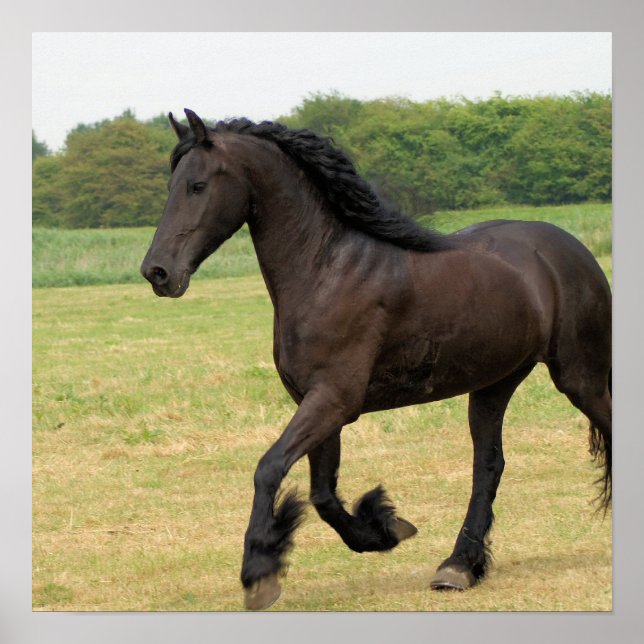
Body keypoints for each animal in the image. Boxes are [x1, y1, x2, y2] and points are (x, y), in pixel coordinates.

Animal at [141, 108, 612, 610]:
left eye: (197, 186)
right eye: (172, 185)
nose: (158, 272)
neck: (328, 270)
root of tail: (573, 250)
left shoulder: (333, 401)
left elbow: (269, 468)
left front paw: (259, 572)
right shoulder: (317, 403)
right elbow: (322, 494)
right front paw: (383, 529)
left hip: (580, 377)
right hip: (493, 384)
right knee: (488, 467)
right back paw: (458, 567)